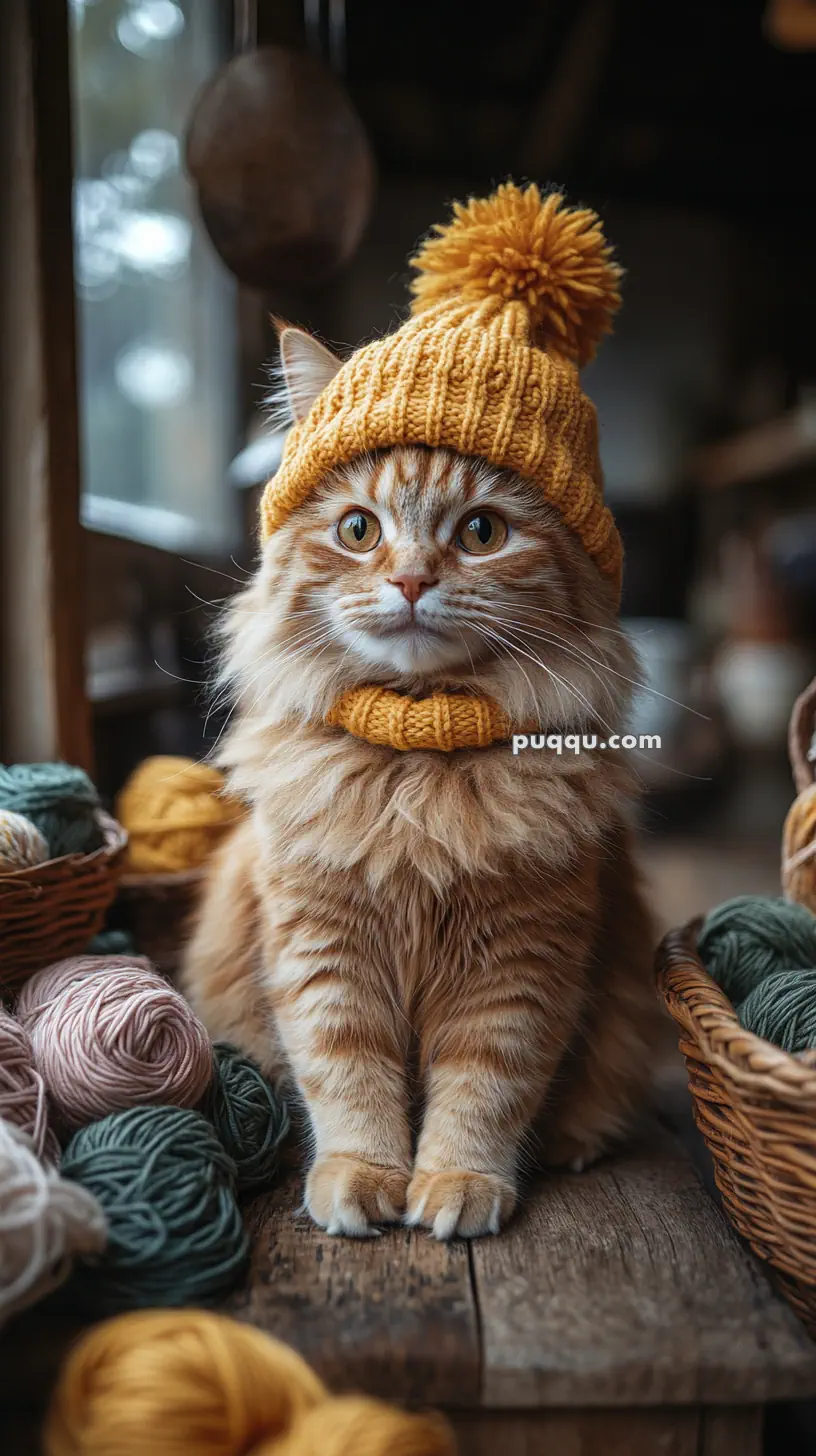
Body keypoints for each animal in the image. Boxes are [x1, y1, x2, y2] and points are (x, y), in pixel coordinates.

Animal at [181, 187, 658, 1246]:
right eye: (359, 529)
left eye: (481, 533)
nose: (406, 580)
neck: (415, 771)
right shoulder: (322, 947)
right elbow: (346, 1075)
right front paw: (363, 1179)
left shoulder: (521, 967)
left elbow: (483, 1090)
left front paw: (456, 1185)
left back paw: (573, 1140)